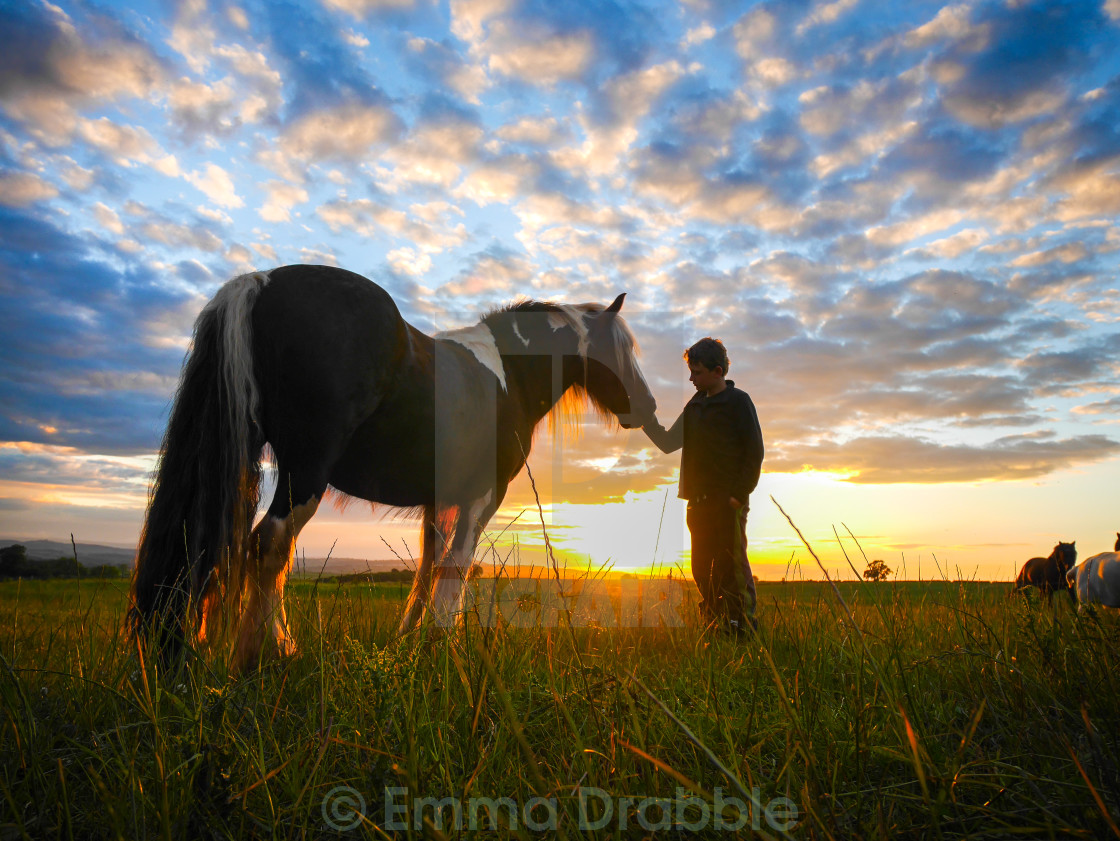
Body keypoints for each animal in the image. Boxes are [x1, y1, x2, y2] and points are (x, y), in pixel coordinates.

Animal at [129, 264, 654, 671]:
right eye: (623, 349)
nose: (646, 407)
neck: (505, 373)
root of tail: (261, 282)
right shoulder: (482, 497)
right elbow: (456, 567)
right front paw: (443, 648)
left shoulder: (440, 499)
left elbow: (427, 569)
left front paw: (410, 643)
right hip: (307, 471)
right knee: (270, 545)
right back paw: (265, 653)